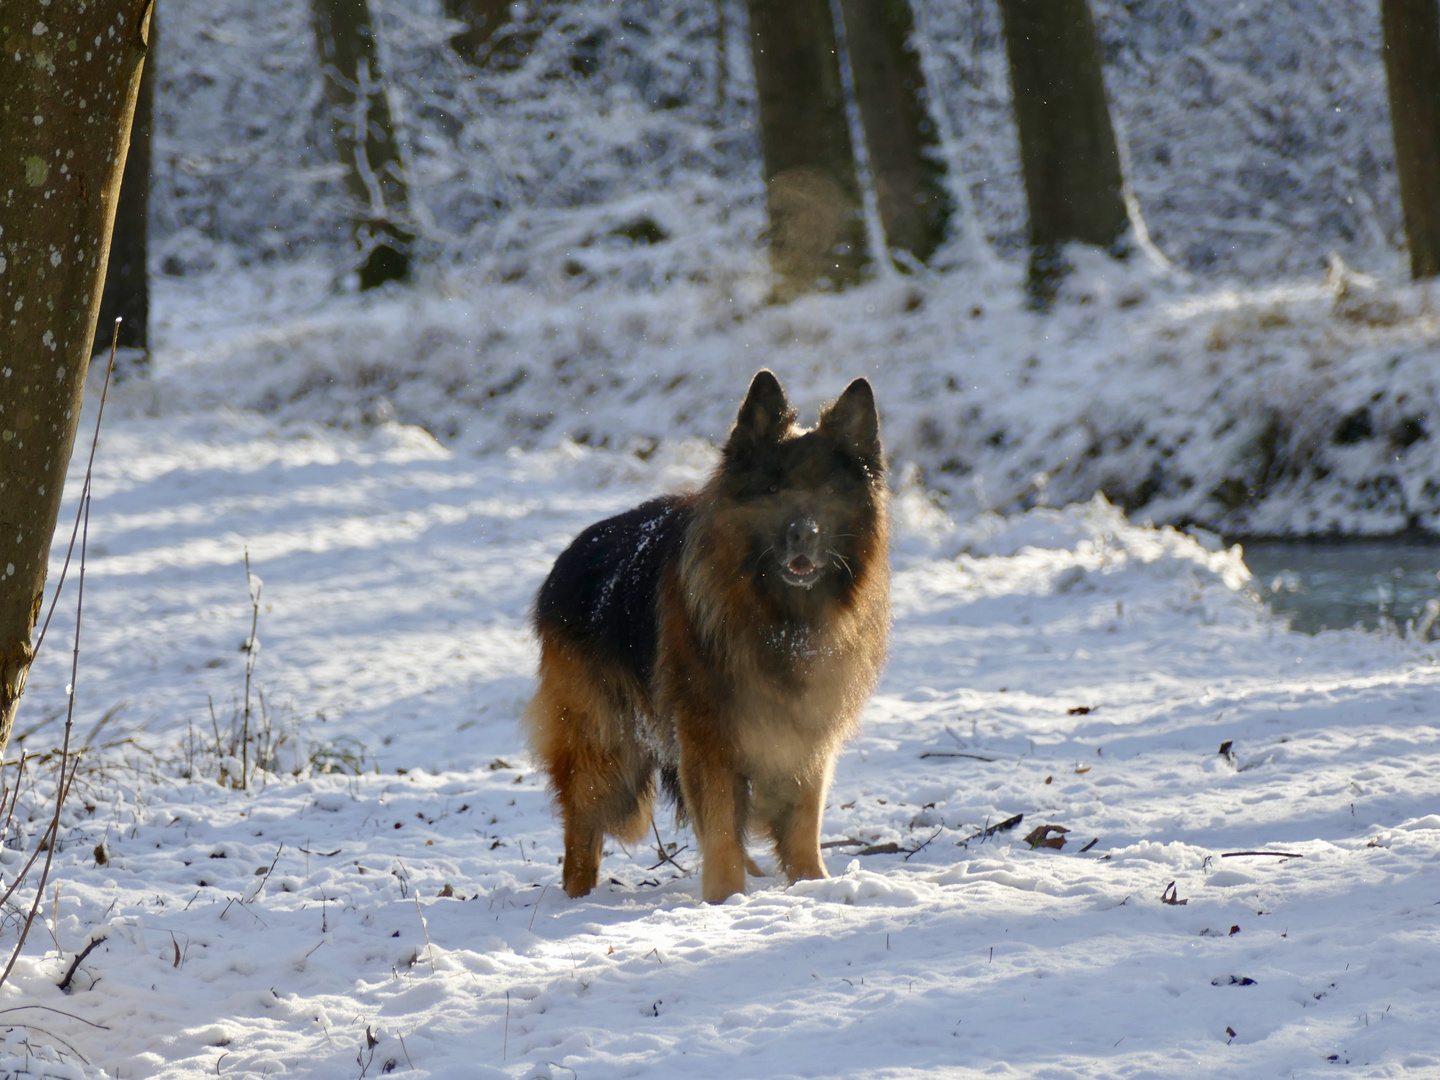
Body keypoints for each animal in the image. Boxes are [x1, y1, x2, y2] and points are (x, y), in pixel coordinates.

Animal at [529, 371, 887, 904]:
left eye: (827, 491)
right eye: (774, 488)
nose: (804, 534)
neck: (778, 618)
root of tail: (568, 559)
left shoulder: (805, 735)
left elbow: (802, 821)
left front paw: (812, 884)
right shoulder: (708, 738)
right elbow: (719, 827)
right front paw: (725, 899)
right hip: (603, 748)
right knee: (582, 831)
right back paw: (578, 897)